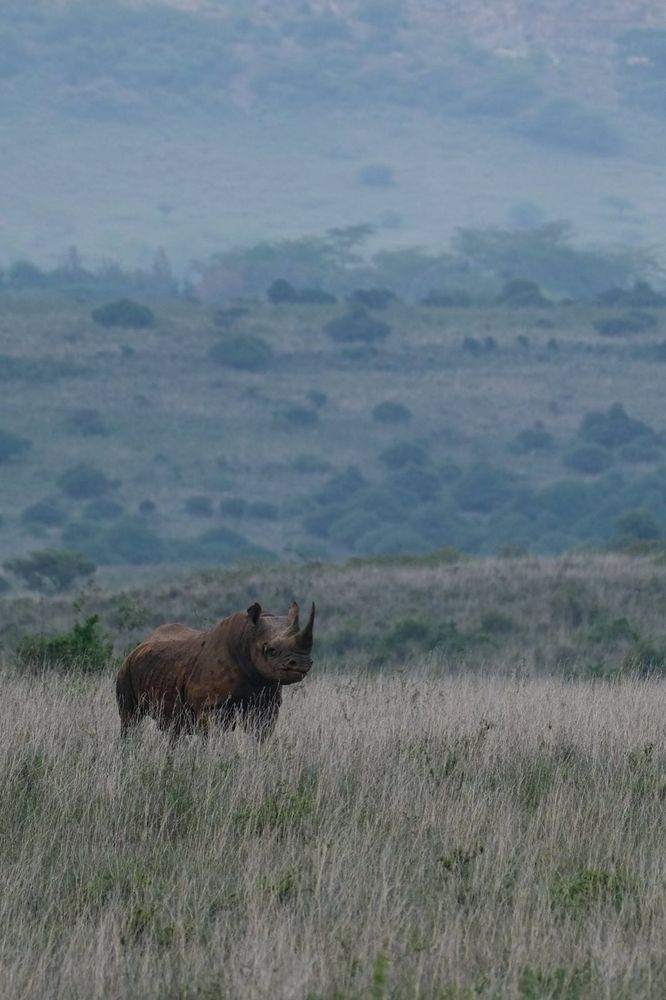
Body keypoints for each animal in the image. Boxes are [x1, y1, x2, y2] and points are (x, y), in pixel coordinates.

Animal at [115, 600, 315, 740]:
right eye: (271, 650)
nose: (303, 663)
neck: (248, 638)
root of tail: (141, 643)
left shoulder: (267, 702)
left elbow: (261, 733)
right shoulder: (211, 705)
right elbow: (214, 735)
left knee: (174, 728)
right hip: (125, 669)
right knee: (130, 719)